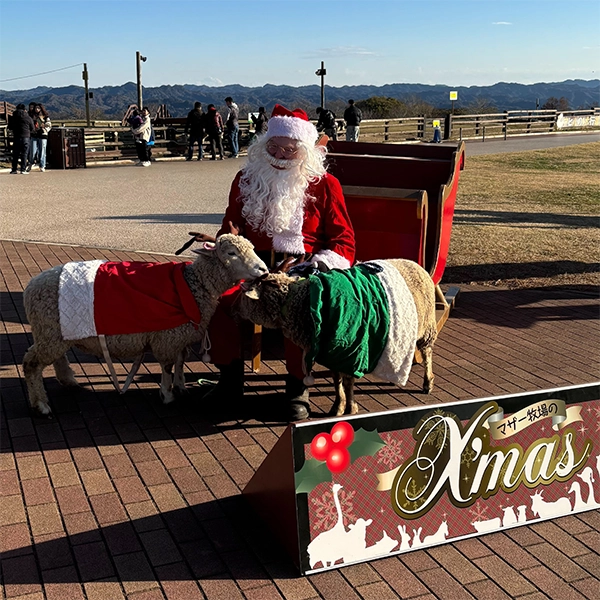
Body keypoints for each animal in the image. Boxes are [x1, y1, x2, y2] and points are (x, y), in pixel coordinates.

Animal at [22, 234, 268, 418]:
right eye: (231, 253)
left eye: (252, 248)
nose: (264, 270)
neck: (194, 284)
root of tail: (31, 286)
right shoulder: (167, 337)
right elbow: (167, 366)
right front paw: (167, 395)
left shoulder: (180, 336)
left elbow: (180, 362)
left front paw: (181, 387)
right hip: (50, 331)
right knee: (32, 364)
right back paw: (40, 405)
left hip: (55, 332)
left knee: (57, 357)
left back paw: (69, 380)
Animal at [234, 258, 436, 418]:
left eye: (244, 295)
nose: (232, 309)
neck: (303, 303)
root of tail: (416, 264)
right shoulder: (333, 352)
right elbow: (337, 381)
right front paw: (338, 407)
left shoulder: (353, 349)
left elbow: (348, 381)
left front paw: (351, 407)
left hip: (427, 325)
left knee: (427, 353)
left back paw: (428, 383)